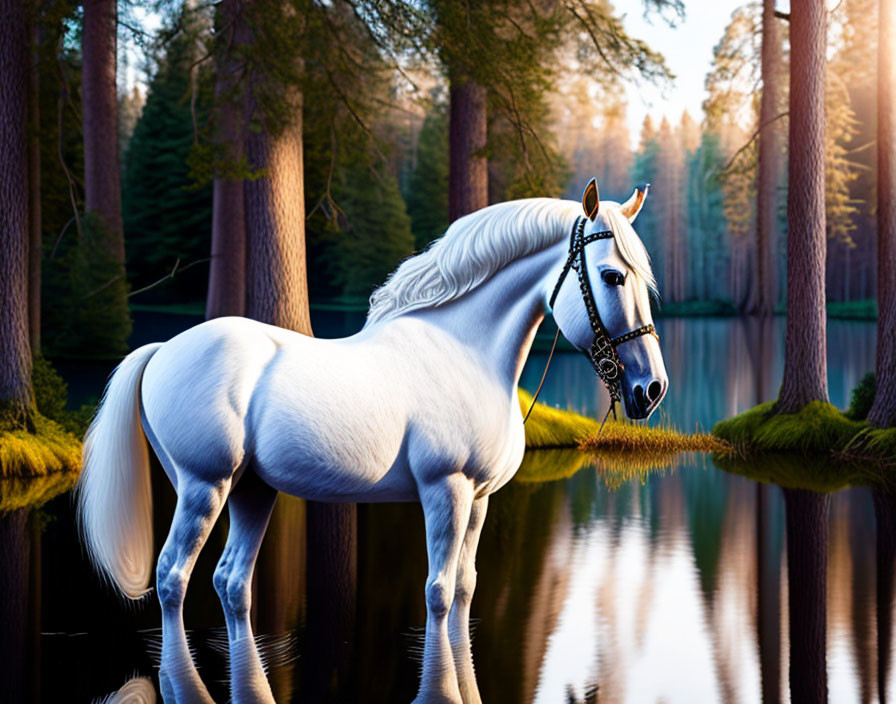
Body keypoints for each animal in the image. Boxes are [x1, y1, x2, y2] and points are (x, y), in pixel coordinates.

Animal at [75, 180, 664, 704]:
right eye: (612, 276)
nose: (650, 389)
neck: (464, 351)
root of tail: (161, 349)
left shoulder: (478, 499)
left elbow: (465, 587)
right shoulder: (445, 490)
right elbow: (439, 593)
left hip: (251, 492)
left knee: (231, 581)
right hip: (204, 487)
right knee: (173, 577)